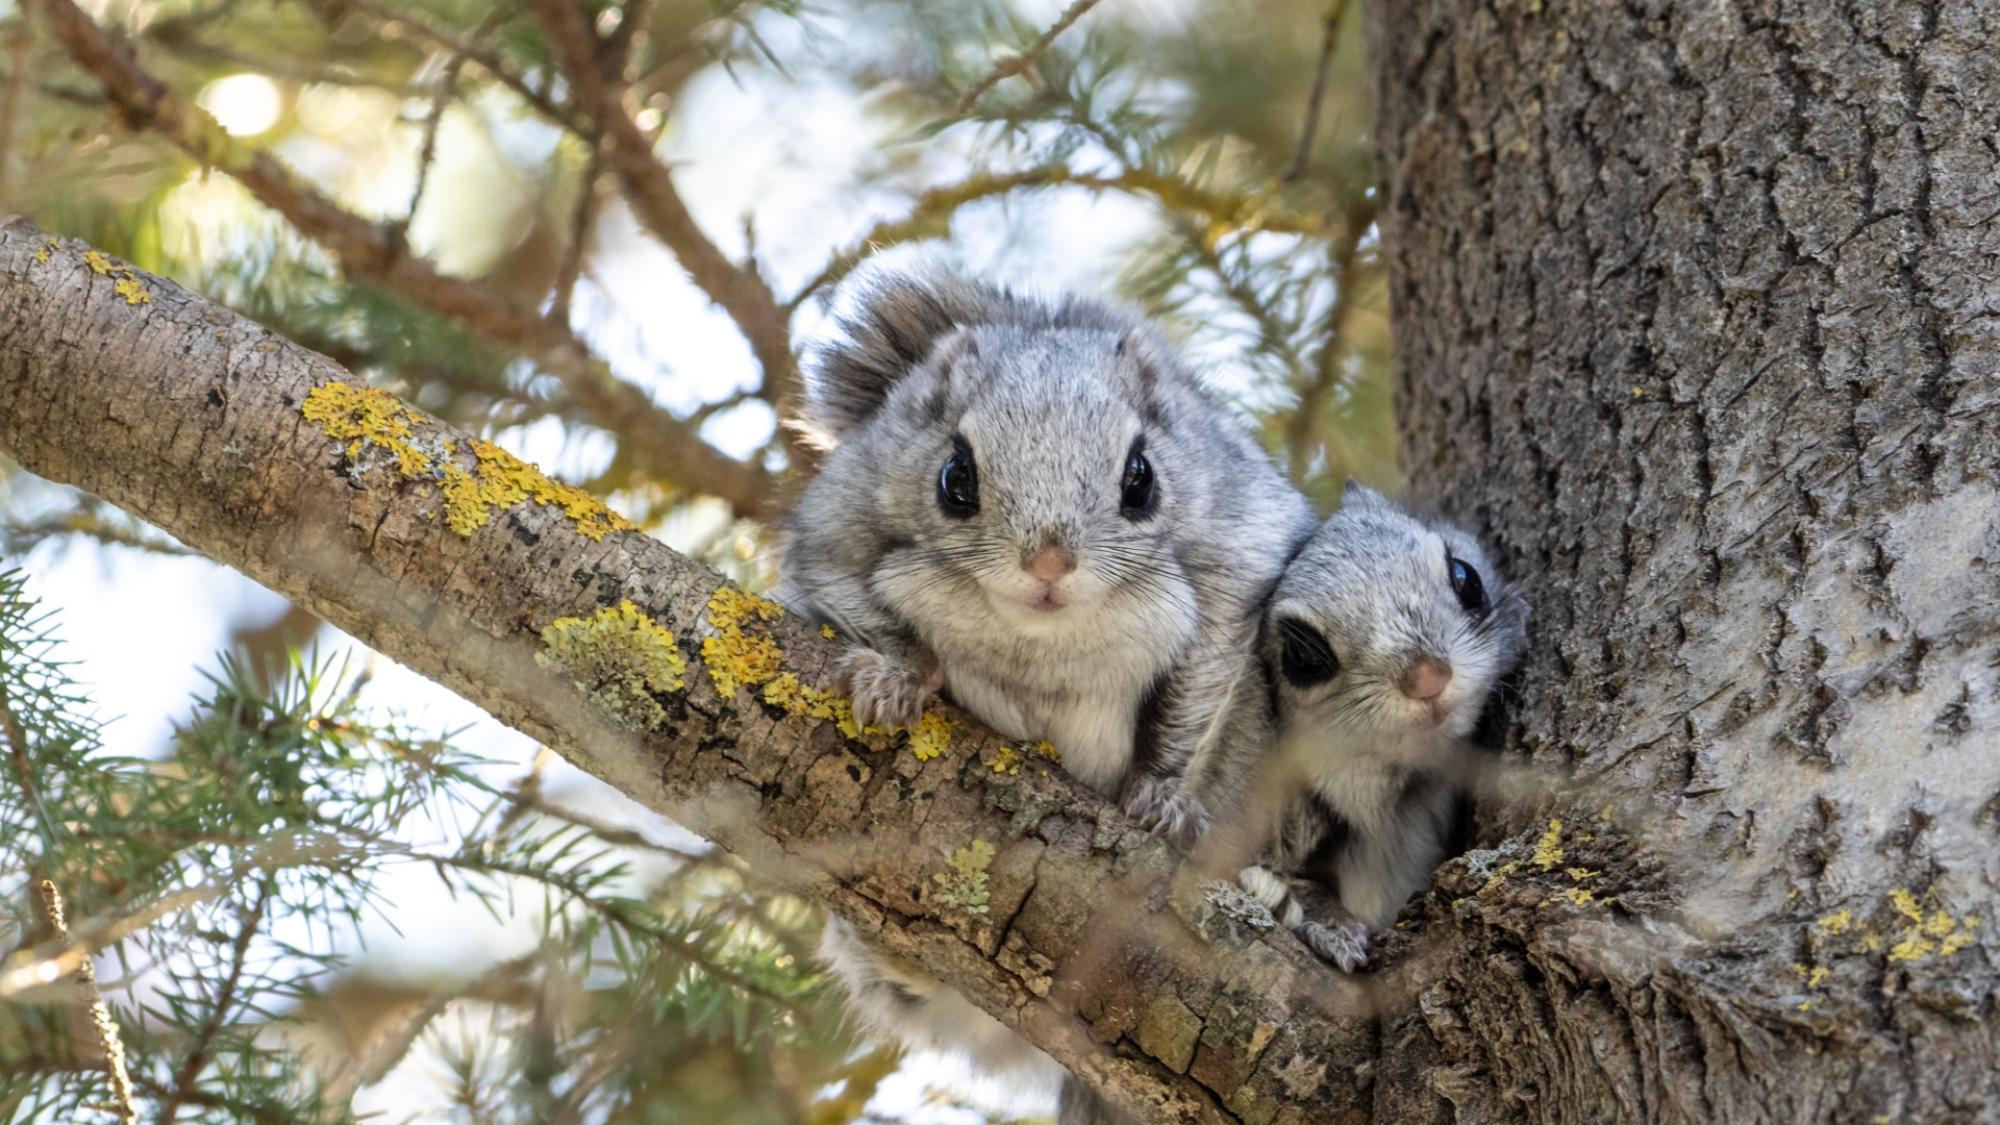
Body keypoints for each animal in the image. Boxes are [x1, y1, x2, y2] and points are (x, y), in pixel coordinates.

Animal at [781, 261, 1314, 1112]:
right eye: (955, 477)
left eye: (1141, 478)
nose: (1049, 564)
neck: (1044, 640)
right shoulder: (837, 532)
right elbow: (850, 596)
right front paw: (896, 678)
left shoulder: (1239, 563)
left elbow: (1197, 690)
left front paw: (1163, 795)